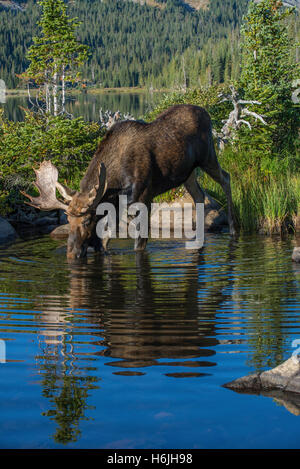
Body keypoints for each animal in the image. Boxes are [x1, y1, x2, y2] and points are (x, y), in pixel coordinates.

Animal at [22, 103, 236, 260]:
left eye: (87, 220)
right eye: (67, 219)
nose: (71, 253)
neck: (114, 185)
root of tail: (207, 113)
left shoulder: (145, 197)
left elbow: (139, 244)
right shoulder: (117, 204)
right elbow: (106, 239)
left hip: (208, 157)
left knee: (226, 178)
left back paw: (233, 229)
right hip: (188, 173)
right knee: (199, 194)